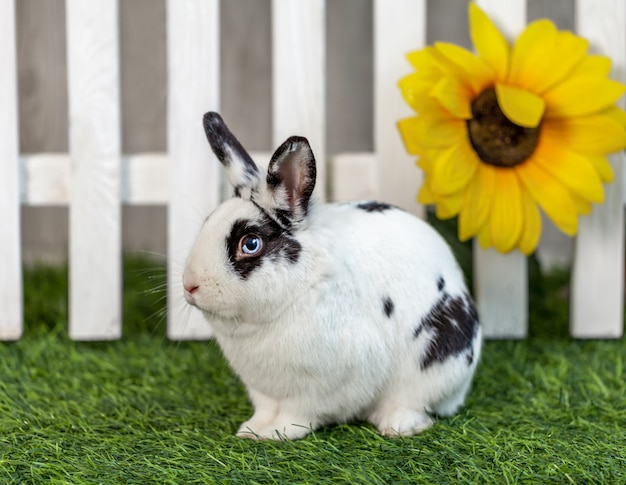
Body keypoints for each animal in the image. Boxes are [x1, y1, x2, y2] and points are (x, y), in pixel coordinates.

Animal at [183, 111, 480, 440]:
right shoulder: (263, 391)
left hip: (437, 358)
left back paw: (397, 425)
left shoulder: (316, 389)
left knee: (415, 403)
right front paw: (251, 430)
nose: (190, 286)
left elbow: (298, 414)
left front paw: (278, 433)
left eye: (250, 244)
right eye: (207, 222)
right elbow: (265, 410)